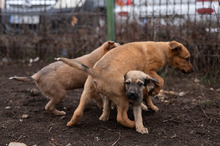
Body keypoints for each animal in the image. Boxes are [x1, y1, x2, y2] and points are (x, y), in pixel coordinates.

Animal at [55, 40, 193, 129]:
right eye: (187, 58)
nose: (192, 71)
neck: (161, 49)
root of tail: (97, 71)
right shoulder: (149, 70)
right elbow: (161, 81)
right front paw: (155, 91)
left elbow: (146, 95)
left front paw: (151, 105)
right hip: (123, 98)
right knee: (121, 117)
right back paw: (133, 124)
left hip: (86, 93)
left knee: (78, 111)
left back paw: (72, 123)